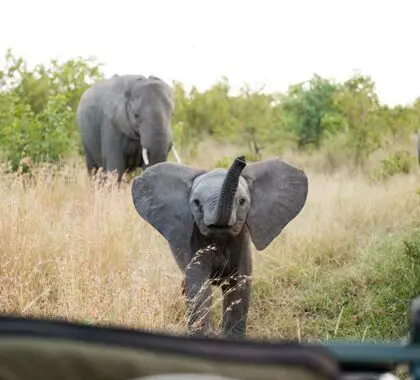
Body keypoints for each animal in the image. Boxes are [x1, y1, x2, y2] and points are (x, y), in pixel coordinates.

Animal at [131, 156, 308, 340]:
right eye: (196, 203)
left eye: (242, 202)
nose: (241, 159)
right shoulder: (194, 244)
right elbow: (199, 286)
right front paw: (201, 336)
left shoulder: (241, 241)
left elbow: (239, 286)